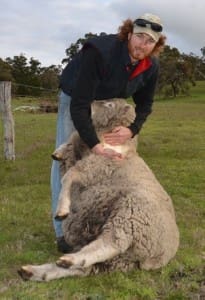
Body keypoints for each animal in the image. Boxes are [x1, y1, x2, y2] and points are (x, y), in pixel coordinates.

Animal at [19, 98, 179, 282]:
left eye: (110, 105)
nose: (91, 103)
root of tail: (161, 256)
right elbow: (71, 142)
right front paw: (58, 152)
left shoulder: (94, 167)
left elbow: (68, 177)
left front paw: (62, 210)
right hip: (121, 258)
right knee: (85, 269)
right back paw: (34, 271)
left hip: (132, 215)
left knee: (112, 243)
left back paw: (70, 259)